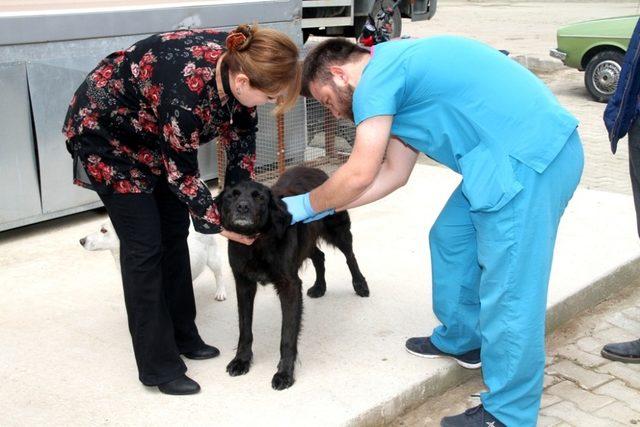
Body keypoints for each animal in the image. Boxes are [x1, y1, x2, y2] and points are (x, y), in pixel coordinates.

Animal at [215, 166, 368, 392]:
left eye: (259, 197)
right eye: (231, 196)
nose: (242, 207)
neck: (257, 242)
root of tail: (316, 169)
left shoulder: (289, 286)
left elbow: (287, 336)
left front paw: (284, 373)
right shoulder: (243, 283)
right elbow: (244, 328)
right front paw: (241, 360)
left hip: (337, 230)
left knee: (350, 256)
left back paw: (360, 284)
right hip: (308, 241)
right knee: (320, 256)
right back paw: (319, 286)